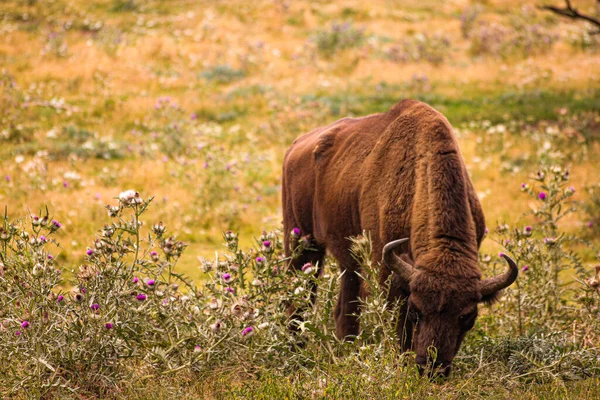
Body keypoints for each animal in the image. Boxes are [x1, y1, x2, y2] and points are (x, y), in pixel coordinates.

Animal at [284, 98, 516, 376]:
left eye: (467, 316)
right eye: (417, 310)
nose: (432, 368)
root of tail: (296, 146)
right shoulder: (388, 271)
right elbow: (399, 324)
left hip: (347, 259)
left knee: (345, 306)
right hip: (301, 244)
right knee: (299, 298)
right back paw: (295, 350)